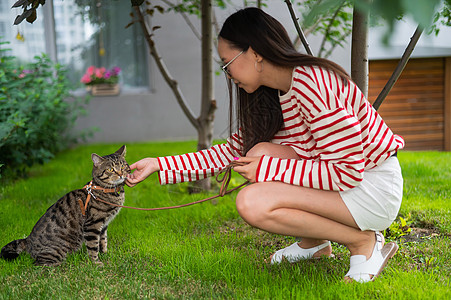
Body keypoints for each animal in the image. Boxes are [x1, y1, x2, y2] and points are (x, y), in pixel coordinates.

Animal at [0, 146, 131, 266]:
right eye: (111, 169)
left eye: (123, 166)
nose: (121, 174)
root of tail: (27, 240)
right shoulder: (92, 225)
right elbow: (93, 246)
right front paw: (96, 263)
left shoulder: (103, 225)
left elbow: (103, 241)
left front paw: (105, 254)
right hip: (56, 251)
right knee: (39, 264)